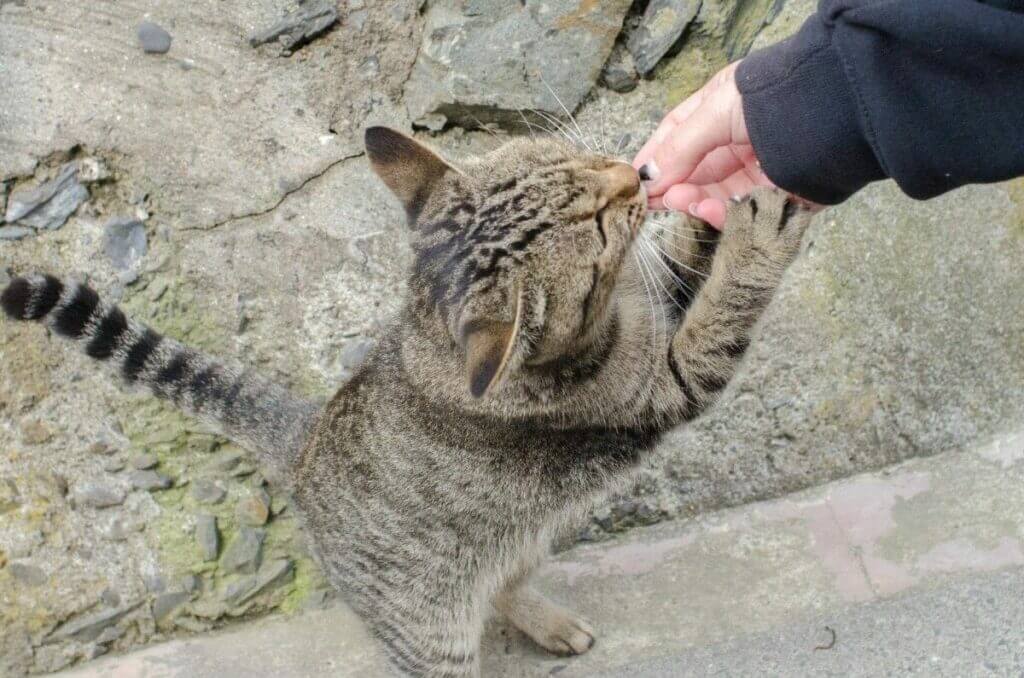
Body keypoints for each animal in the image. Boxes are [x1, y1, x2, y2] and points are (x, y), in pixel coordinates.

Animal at [4, 125, 811, 675]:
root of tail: (305, 434)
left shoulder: (659, 303)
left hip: (518, 529)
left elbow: (688, 258)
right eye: (600, 227)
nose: (636, 171)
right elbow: (726, 307)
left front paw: (707, 191)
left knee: (503, 580)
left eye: (567, 160)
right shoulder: (670, 380)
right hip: (431, 631)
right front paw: (755, 229)